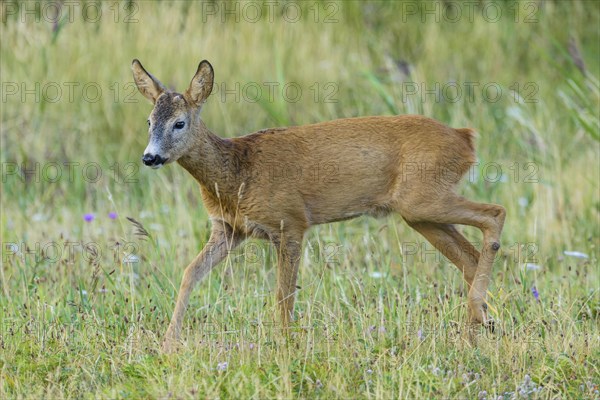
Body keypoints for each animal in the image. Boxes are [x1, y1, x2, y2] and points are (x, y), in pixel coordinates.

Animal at [132, 57, 506, 352]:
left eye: (179, 122)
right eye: (149, 122)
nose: (150, 157)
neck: (237, 171)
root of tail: (465, 138)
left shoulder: (290, 222)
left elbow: (283, 294)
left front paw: (284, 345)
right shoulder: (228, 228)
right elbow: (189, 273)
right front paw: (168, 344)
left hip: (423, 198)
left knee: (495, 214)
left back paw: (479, 320)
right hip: (419, 212)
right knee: (469, 257)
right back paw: (480, 327)